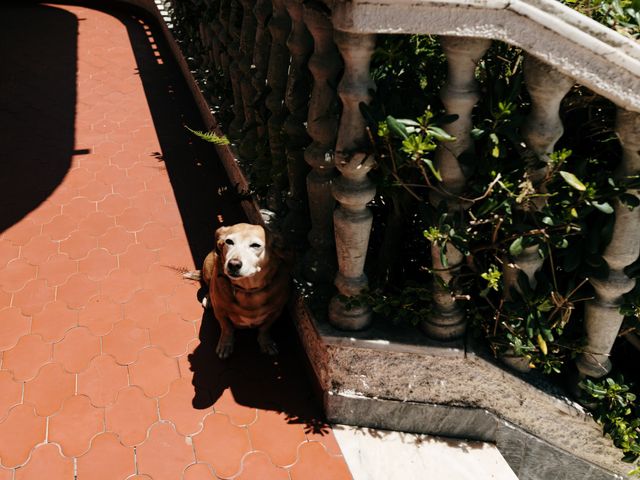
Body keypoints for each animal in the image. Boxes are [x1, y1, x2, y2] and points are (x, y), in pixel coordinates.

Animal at [199, 223, 292, 358]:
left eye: (255, 245)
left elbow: (265, 328)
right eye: (229, 241)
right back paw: (209, 298)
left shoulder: (276, 312)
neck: (248, 290)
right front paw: (225, 344)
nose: (233, 264)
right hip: (208, 267)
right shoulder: (220, 312)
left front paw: (266, 342)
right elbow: (227, 328)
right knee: (210, 285)